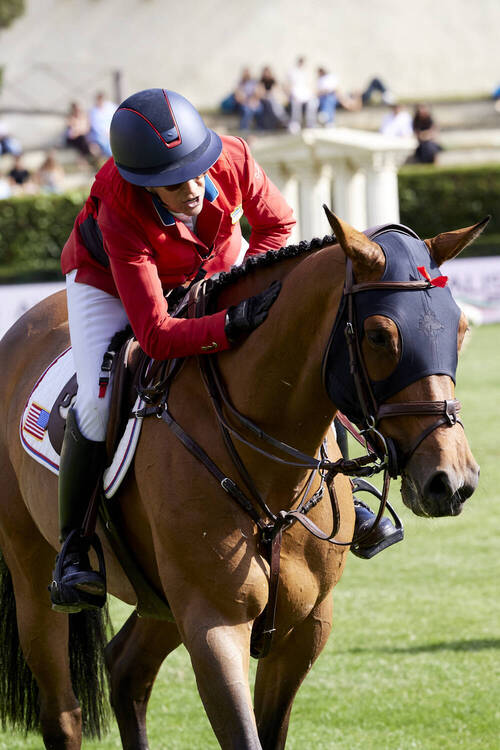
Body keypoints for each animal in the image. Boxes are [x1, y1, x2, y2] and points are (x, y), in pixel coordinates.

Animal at [0, 210, 486, 750]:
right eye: (380, 335)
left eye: (461, 329)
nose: (451, 481)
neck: (273, 480)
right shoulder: (214, 624)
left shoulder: (304, 627)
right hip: (34, 576)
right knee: (63, 711)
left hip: (162, 598)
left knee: (126, 668)